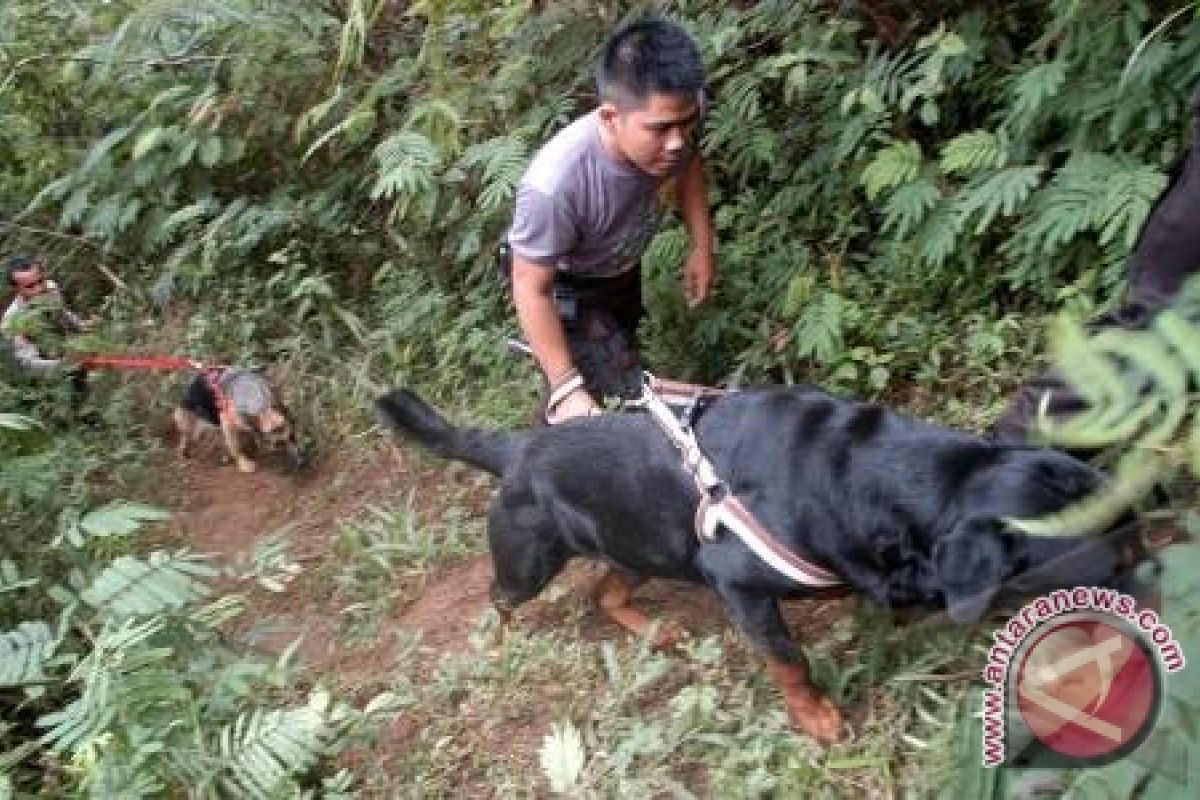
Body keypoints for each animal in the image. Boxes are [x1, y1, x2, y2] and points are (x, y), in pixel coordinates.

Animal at [374, 383, 1152, 743]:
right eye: (1103, 573)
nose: (1157, 603)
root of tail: (516, 447)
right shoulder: (736, 582)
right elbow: (788, 659)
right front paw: (817, 717)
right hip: (529, 559)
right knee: (500, 597)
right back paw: (499, 644)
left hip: (646, 543)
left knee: (604, 589)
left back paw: (649, 628)